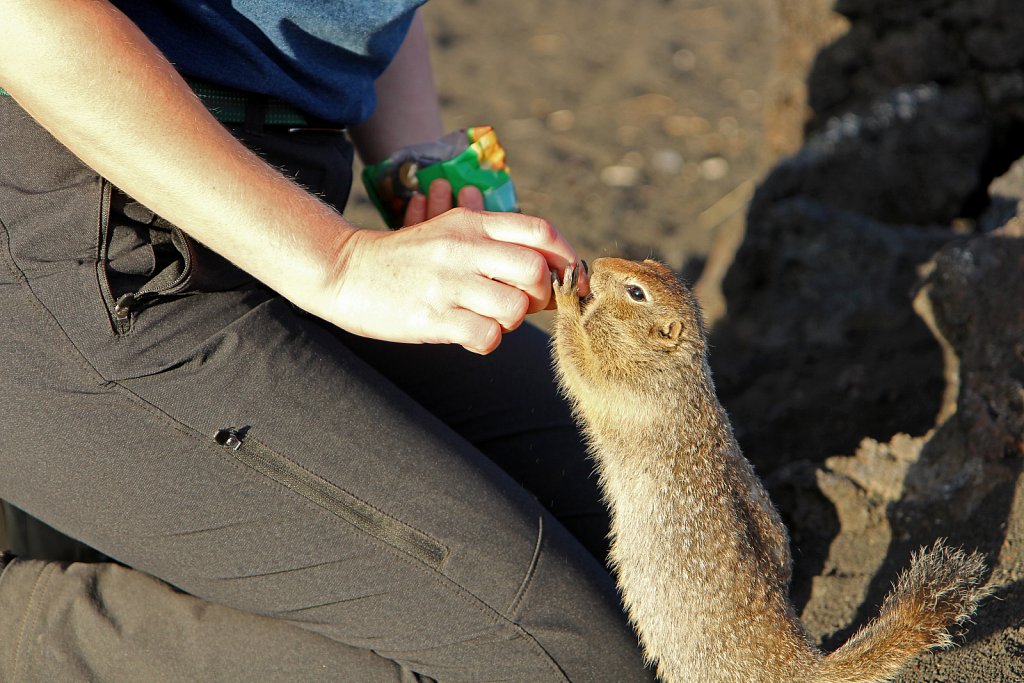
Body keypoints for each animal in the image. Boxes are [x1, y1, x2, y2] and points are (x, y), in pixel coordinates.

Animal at [552, 258, 991, 683]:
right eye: (647, 262)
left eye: (636, 292)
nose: (596, 262)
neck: (676, 366)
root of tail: (800, 662)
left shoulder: (632, 381)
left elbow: (584, 366)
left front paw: (567, 298)